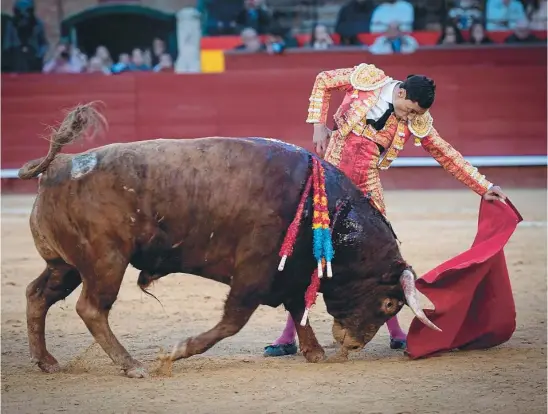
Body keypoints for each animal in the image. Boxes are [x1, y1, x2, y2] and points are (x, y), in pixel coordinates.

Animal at [20, 102, 440, 378]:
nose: (351, 344)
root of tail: (57, 168)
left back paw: (47, 361)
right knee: (91, 308)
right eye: (389, 303)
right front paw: (175, 353)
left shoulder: (291, 273)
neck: (329, 214)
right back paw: (132, 365)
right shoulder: (254, 271)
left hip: (67, 264)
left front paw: (315, 353)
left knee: (38, 295)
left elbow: (297, 310)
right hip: (105, 260)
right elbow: (234, 321)